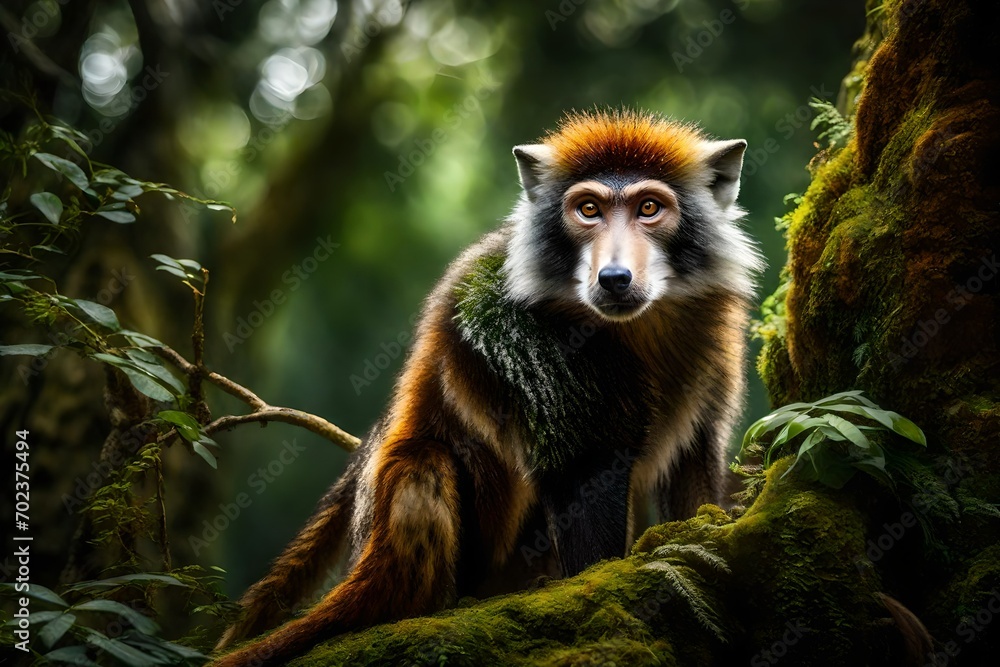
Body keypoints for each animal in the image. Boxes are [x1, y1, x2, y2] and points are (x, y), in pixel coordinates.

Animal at [213, 108, 762, 666]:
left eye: (649, 207)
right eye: (589, 209)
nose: (613, 276)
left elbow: (691, 463)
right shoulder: (510, 328)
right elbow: (584, 469)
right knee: (424, 465)